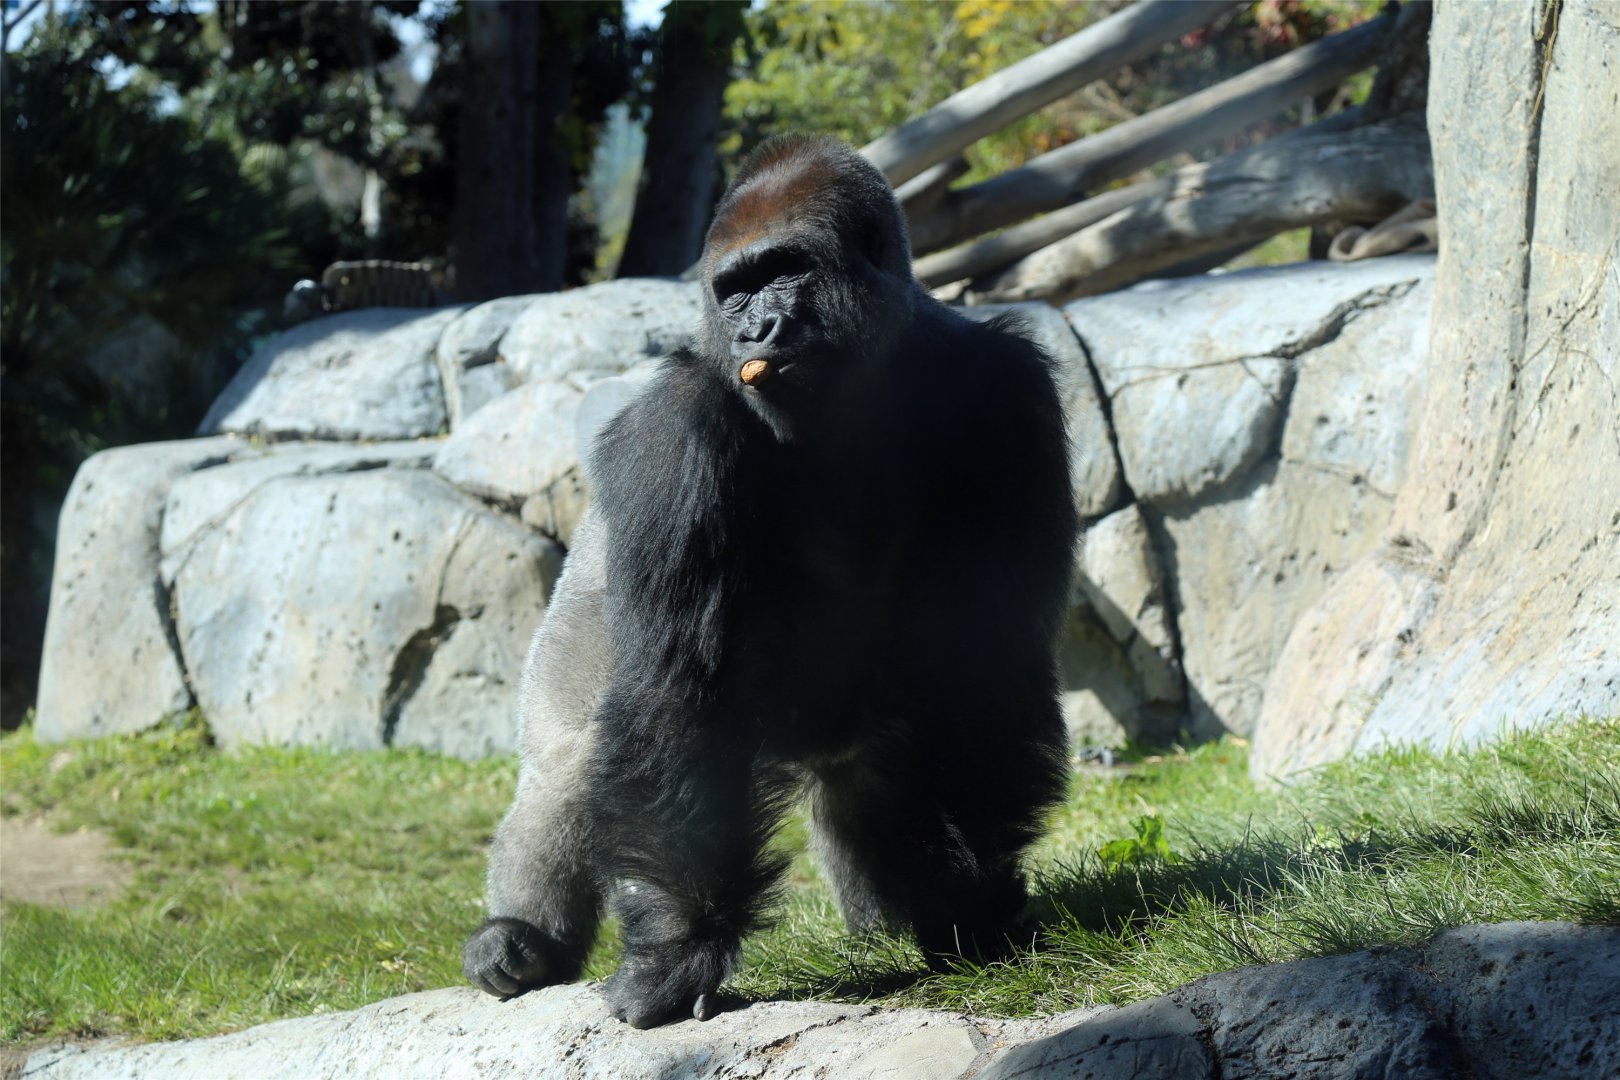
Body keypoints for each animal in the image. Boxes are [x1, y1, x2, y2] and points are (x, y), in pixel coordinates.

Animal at [462, 135, 1079, 1029]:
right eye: (735, 289)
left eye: (787, 271)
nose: (757, 325)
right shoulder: (674, 429)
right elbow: (676, 692)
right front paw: (680, 947)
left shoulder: (1008, 391)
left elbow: (983, 660)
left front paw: (972, 900)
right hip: (574, 625)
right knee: (573, 757)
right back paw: (520, 938)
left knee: (869, 783)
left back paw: (885, 911)